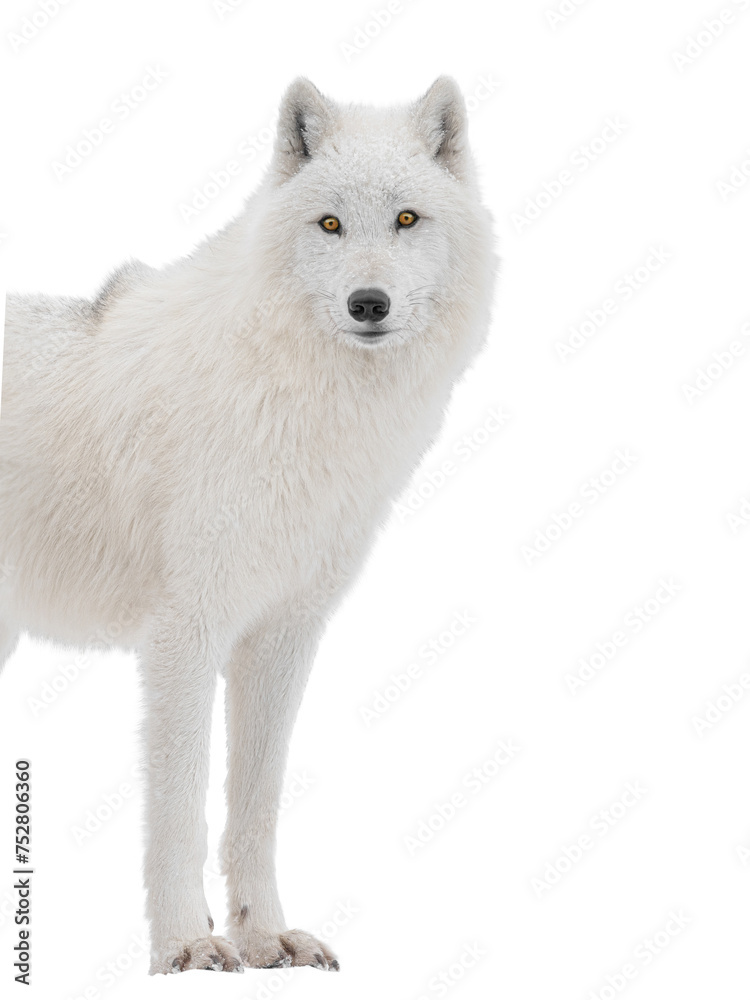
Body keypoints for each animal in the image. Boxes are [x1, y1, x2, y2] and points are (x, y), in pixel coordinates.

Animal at [0, 77, 496, 973]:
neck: (298, 399)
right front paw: (183, 946)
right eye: (329, 224)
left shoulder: (282, 635)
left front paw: (263, 935)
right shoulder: (183, 635)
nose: (367, 303)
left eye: (406, 219)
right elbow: (179, 806)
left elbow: (256, 805)